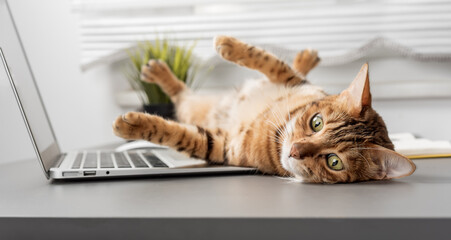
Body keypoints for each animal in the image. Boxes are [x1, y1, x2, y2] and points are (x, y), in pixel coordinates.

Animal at [114, 35, 416, 183]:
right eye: (316, 123)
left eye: (334, 162)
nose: (295, 150)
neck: (275, 131)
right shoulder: (292, 80)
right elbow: (269, 60)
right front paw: (229, 44)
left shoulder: (221, 147)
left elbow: (178, 134)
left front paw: (133, 125)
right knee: (182, 92)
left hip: (195, 111)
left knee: (182, 98)